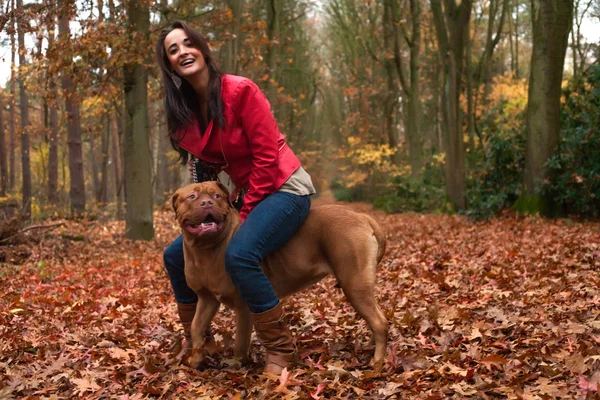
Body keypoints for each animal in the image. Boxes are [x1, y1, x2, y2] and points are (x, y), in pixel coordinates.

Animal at [172, 181, 390, 368]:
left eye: (217, 196)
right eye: (192, 196)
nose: (207, 202)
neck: (207, 250)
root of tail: (362, 217)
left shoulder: (243, 306)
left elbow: (240, 340)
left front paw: (236, 365)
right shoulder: (207, 298)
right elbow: (196, 327)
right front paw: (197, 359)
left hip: (354, 283)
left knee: (379, 322)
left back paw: (377, 361)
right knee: (379, 318)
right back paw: (371, 347)